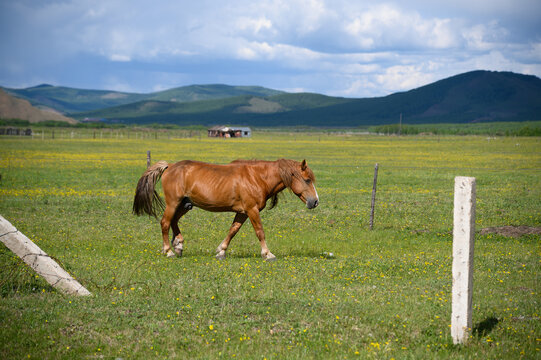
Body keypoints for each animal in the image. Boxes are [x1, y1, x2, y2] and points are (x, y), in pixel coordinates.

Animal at [133, 159, 318, 260]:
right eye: (307, 180)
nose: (315, 201)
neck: (257, 178)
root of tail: (170, 166)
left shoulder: (242, 212)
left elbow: (233, 230)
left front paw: (221, 251)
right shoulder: (251, 210)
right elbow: (260, 231)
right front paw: (267, 254)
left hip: (185, 204)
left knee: (174, 221)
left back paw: (178, 244)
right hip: (173, 203)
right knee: (165, 222)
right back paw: (169, 251)